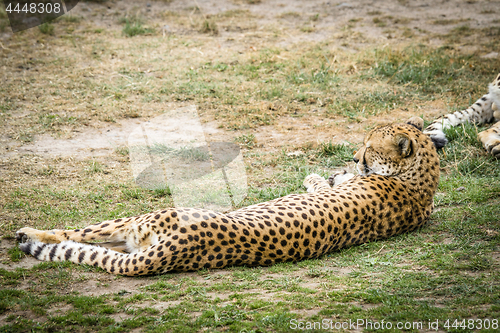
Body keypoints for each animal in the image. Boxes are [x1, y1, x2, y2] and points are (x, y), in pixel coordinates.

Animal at [15, 116, 440, 274]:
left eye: (370, 147)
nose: (354, 156)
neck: (418, 183)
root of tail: (183, 246)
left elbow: (322, 184)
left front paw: (320, 174)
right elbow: (329, 183)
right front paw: (331, 171)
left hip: (143, 220)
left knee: (74, 234)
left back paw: (26, 233)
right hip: (133, 240)